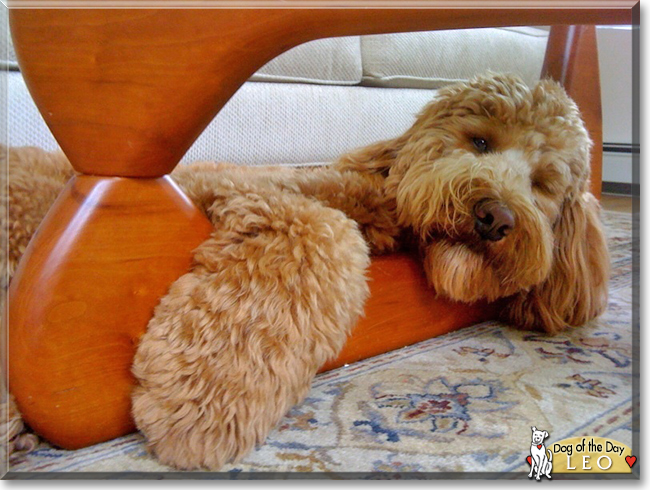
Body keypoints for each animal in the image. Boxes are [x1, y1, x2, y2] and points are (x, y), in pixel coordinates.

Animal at [1, 74, 608, 468]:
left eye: (543, 184)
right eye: (479, 141)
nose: (494, 216)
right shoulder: (236, 185)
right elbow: (324, 230)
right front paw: (202, 405)